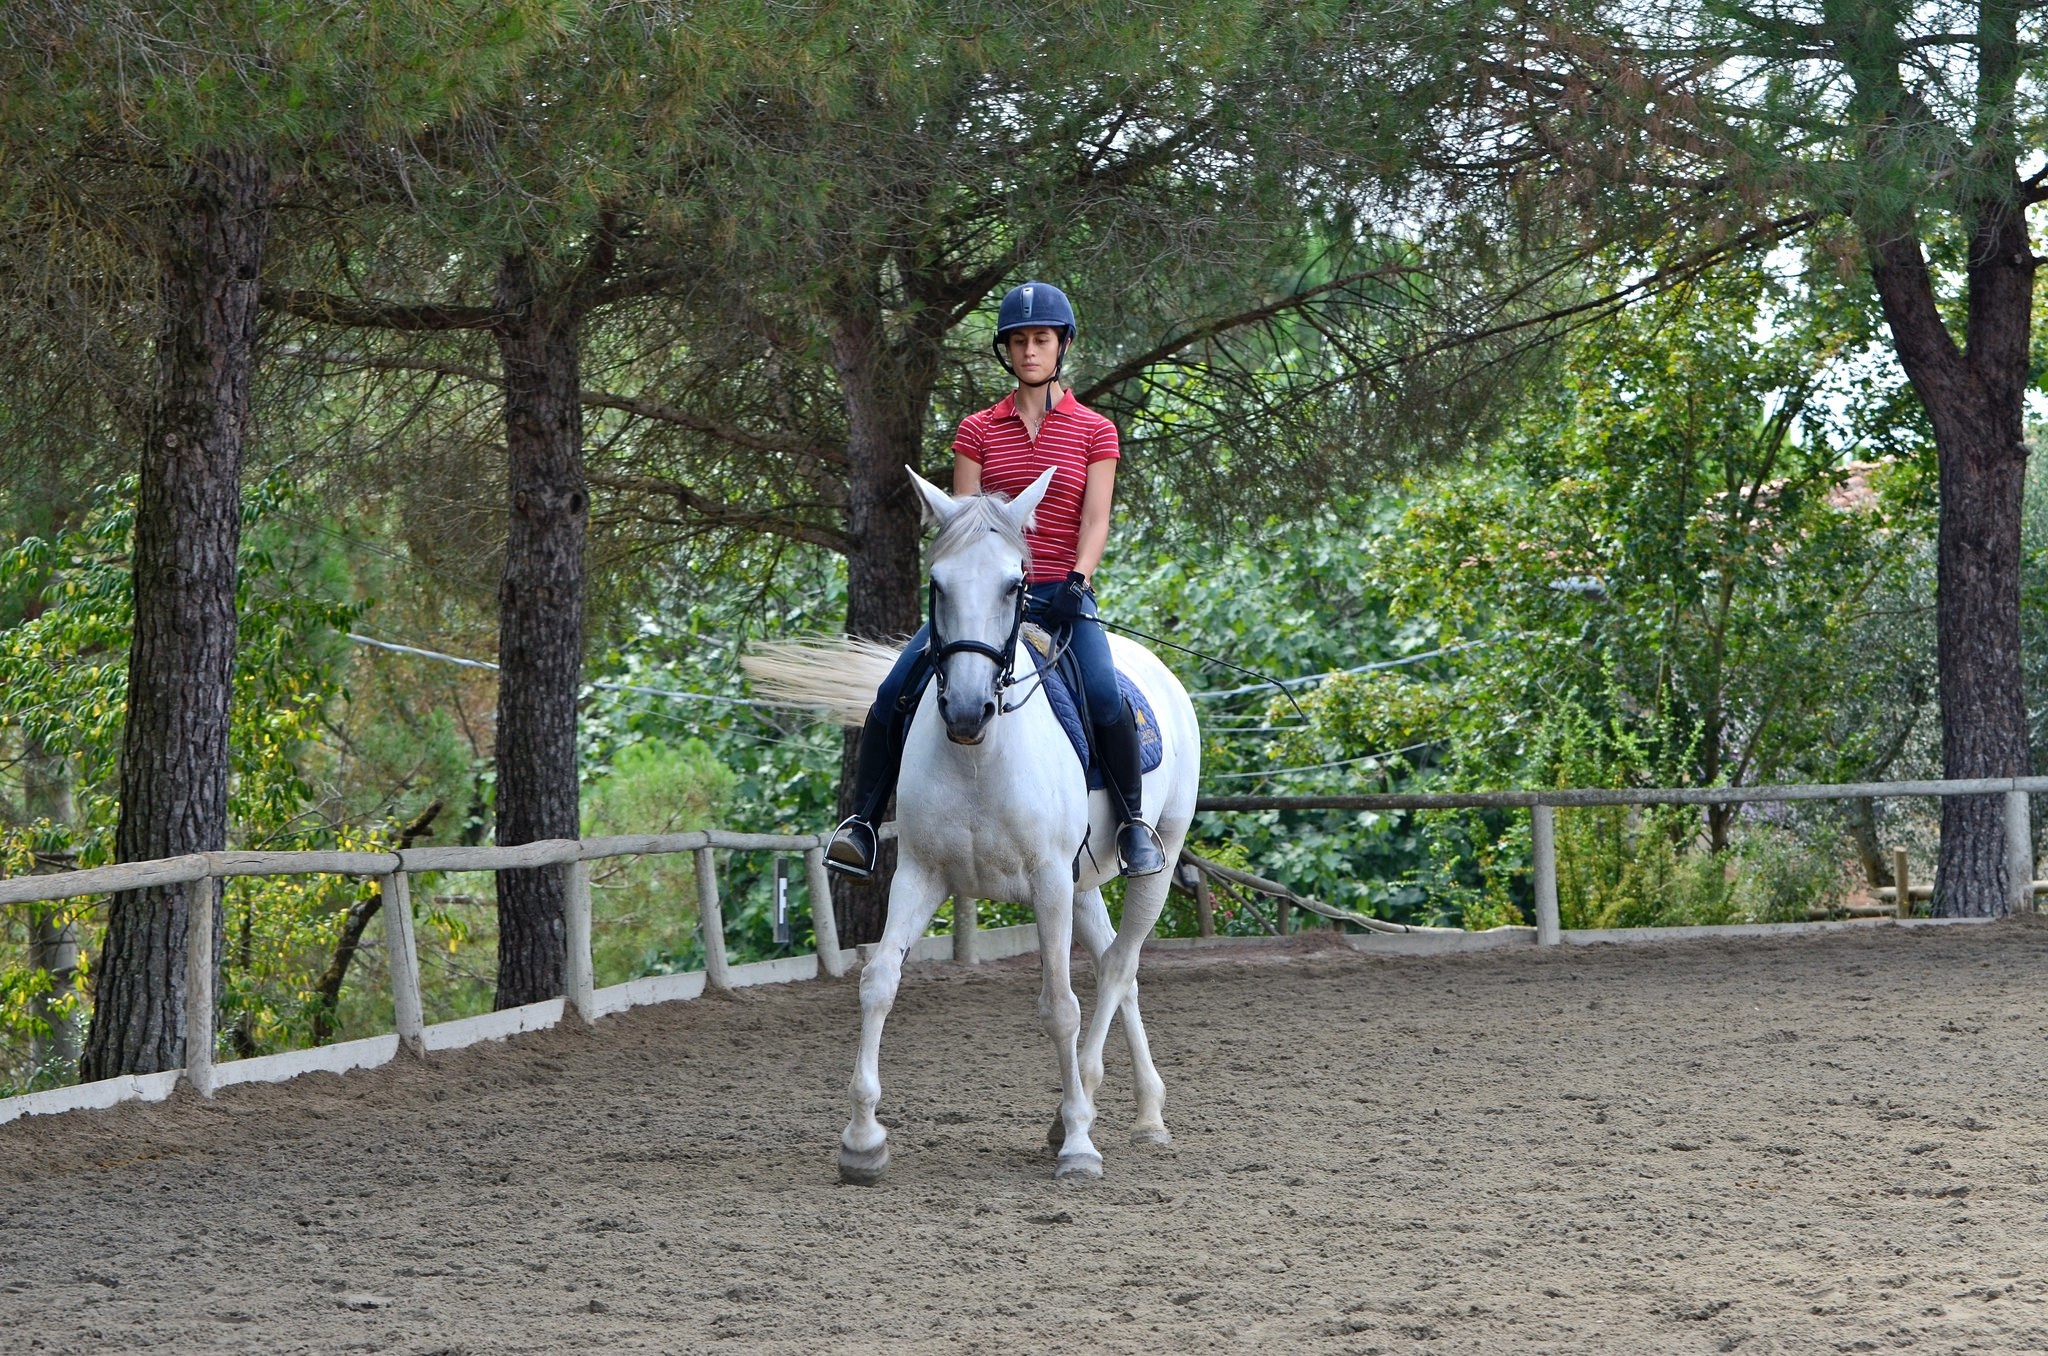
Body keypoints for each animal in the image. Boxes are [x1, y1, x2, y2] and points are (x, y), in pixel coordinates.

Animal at [744, 466, 1201, 1183]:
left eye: (1015, 583)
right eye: (937, 582)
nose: (965, 710)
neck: (979, 757)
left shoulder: (1046, 882)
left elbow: (1060, 1006)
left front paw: (1078, 1143)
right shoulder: (921, 873)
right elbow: (879, 983)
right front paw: (862, 1141)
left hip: (1153, 859)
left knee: (1118, 967)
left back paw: (1096, 1110)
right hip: (1084, 884)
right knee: (1114, 969)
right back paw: (1142, 1109)